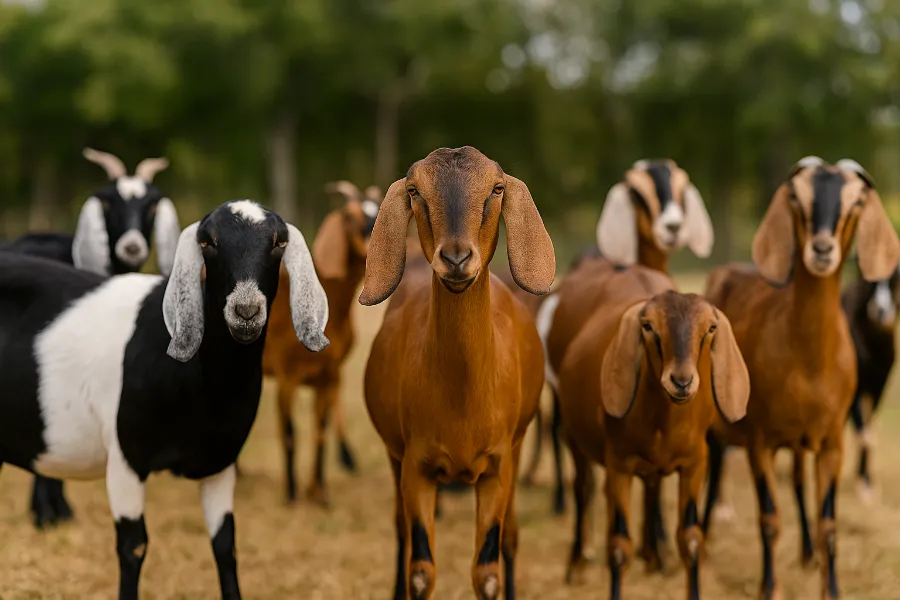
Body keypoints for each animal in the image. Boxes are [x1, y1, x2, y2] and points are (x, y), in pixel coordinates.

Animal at [0, 200, 328, 600]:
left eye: (279, 243)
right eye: (207, 242)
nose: (246, 311)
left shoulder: (220, 464)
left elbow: (225, 545)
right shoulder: (125, 459)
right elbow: (133, 546)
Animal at [262, 181, 379, 504]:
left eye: (378, 210)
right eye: (349, 216)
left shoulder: (329, 376)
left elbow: (320, 430)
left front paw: (319, 491)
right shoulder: (287, 376)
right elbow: (290, 432)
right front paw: (291, 493)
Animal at [361, 146, 554, 600]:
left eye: (496, 189)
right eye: (415, 191)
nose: (455, 258)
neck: (462, 395)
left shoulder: (498, 467)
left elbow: (487, 571)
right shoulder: (416, 467)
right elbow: (420, 569)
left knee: (512, 537)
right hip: (395, 454)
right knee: (400, 532)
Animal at [558, 269, 748, 599]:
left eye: (710, 328)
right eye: (648, 327)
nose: (681, 381)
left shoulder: (695, 462)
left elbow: (691, 540)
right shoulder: (619, 464)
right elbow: (619, 546)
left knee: (651, 488)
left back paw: (653, 557)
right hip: (574, 438)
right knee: (583, 489)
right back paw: (577, 565)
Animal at [701, 157, 900, 600]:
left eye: (855, 201)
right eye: (796, 197)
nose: (822, 249)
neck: (809, 363)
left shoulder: (832, 440)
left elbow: (828, 524)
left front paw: (832, 587)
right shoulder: (759, 441)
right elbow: (769, 519)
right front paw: (769, 588)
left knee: (794, 480)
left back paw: (806, 553)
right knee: (715, 464)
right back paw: (702, 537)